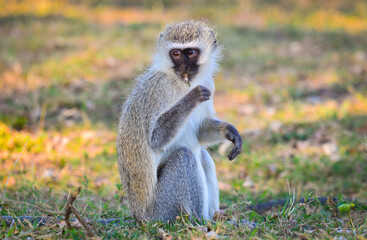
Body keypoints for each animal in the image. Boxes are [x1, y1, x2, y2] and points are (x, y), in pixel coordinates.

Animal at [118, 20, 243, 221]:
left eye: (190, 52)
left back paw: (215, 216)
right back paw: (200, 222)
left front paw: (229, 131)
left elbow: (199, 132)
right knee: (184, 156)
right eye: (176, 53)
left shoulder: (208, 83)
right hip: (160, 210)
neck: (179, 82)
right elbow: (155, 140)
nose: (184, 67)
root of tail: (139, 216)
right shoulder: (159, 88)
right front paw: (192, 97)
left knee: (203, 156)